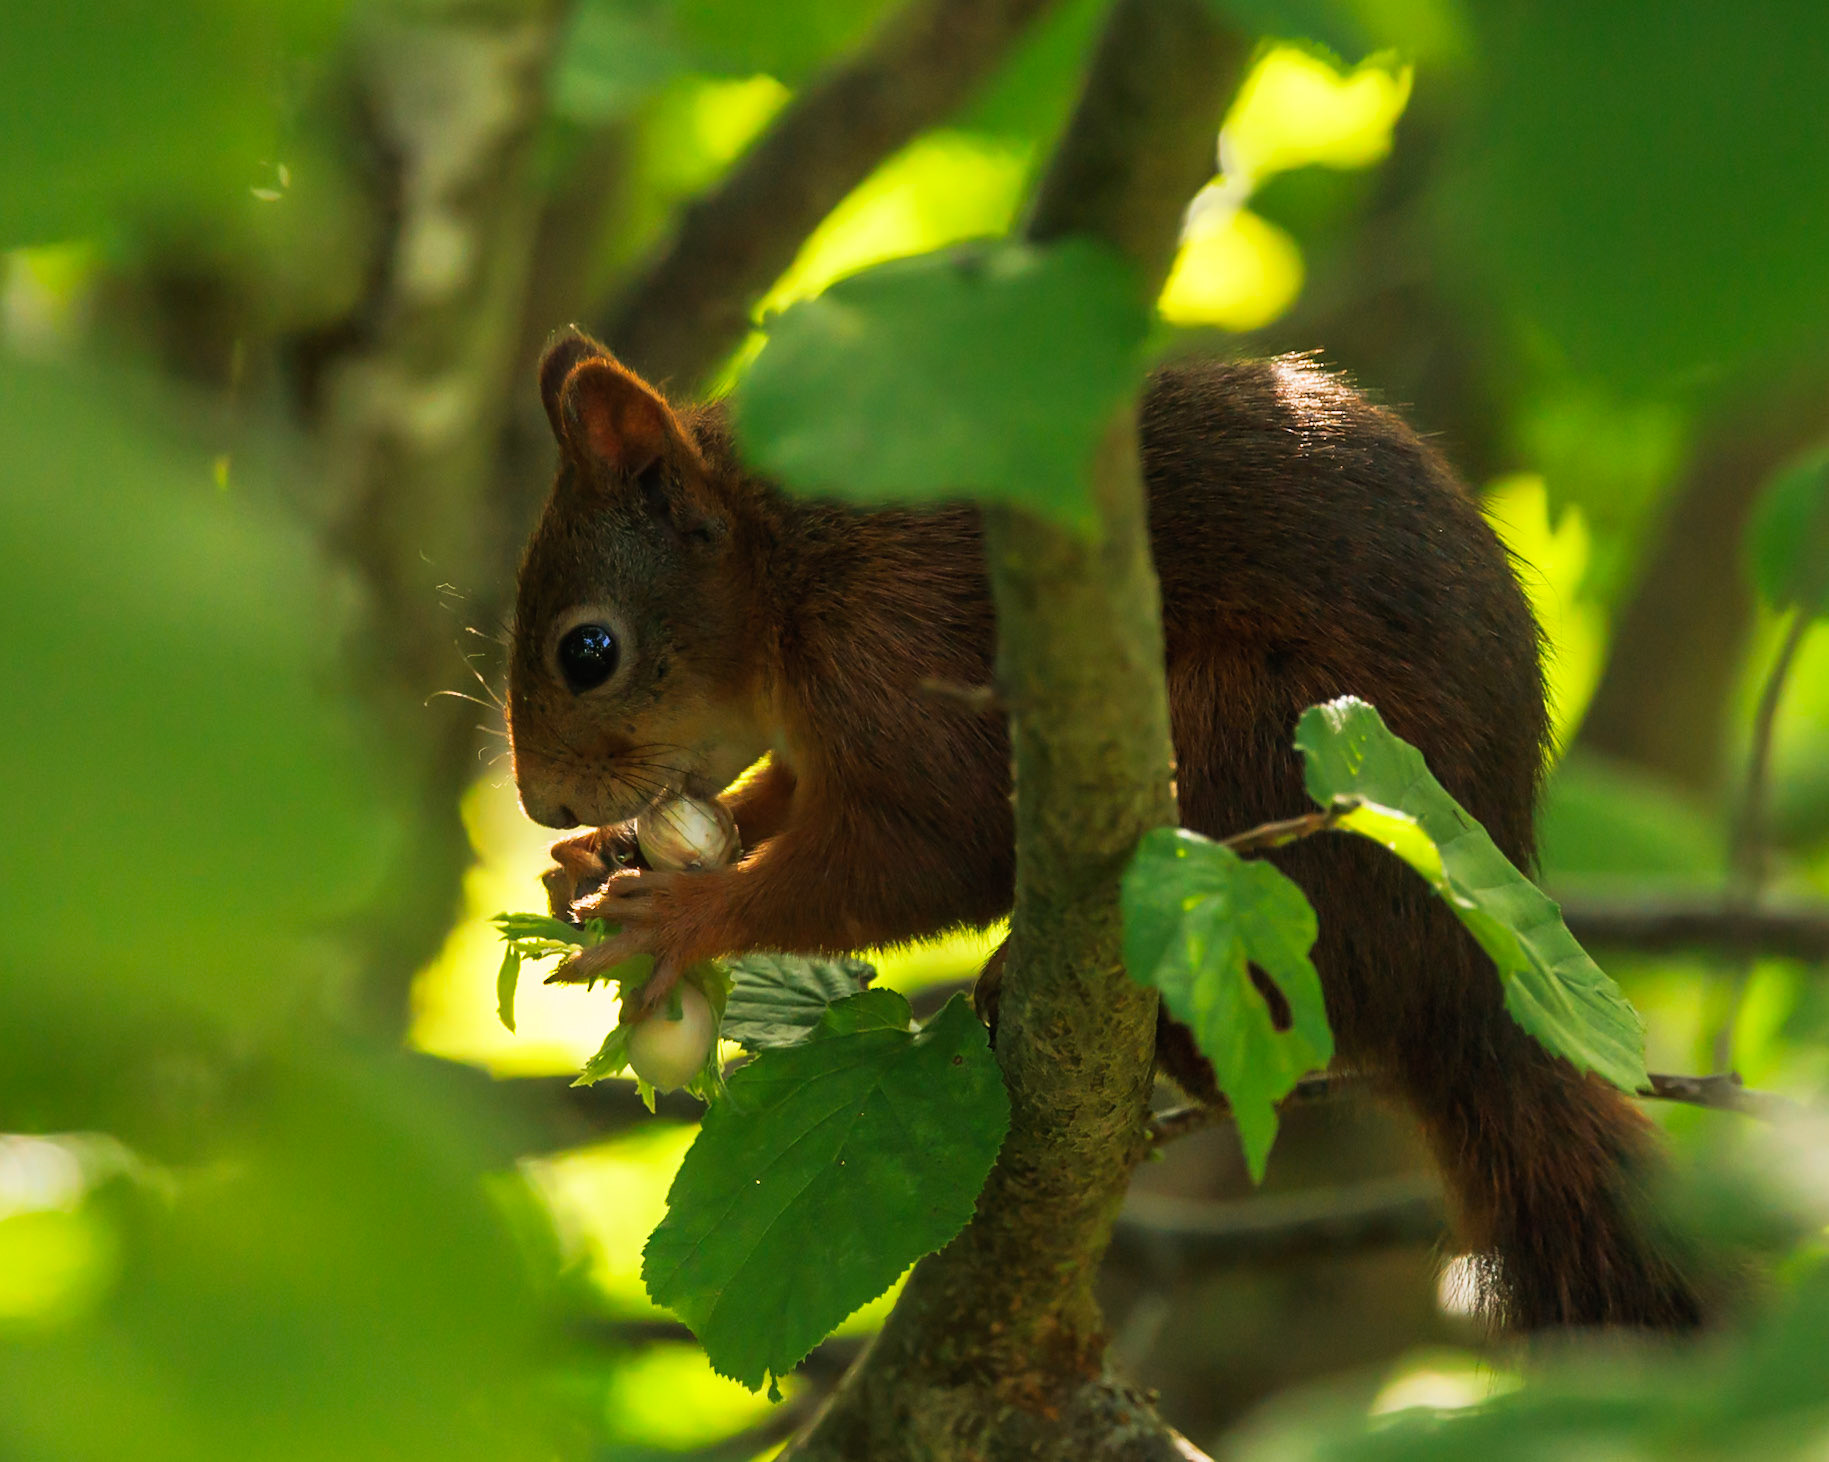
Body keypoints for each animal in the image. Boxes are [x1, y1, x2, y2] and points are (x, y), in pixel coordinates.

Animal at [507, 327, 1704, 1333]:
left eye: (588, 651)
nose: (541, 805)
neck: (793, 560)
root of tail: (1459, 992)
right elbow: (787, 803)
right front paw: (589, 863)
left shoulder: (905, 656)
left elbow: (917, 854)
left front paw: (682, 914)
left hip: (1249, 748)